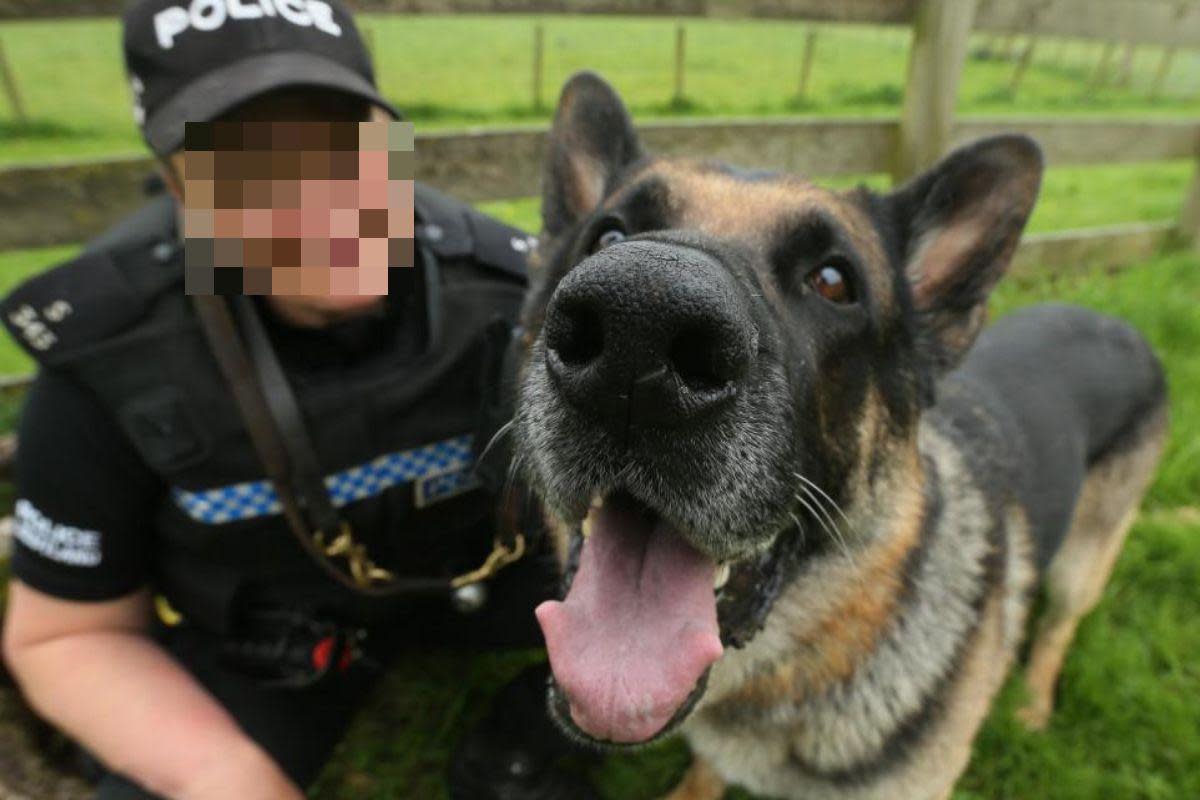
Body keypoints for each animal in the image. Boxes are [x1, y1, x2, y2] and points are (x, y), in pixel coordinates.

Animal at [513, 71, 1161, 796]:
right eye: (607, 238)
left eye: (832, 281)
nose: (637, 329)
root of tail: (1121, 326)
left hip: (1083, 562)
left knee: (1058, 627)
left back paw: (1033, 703)